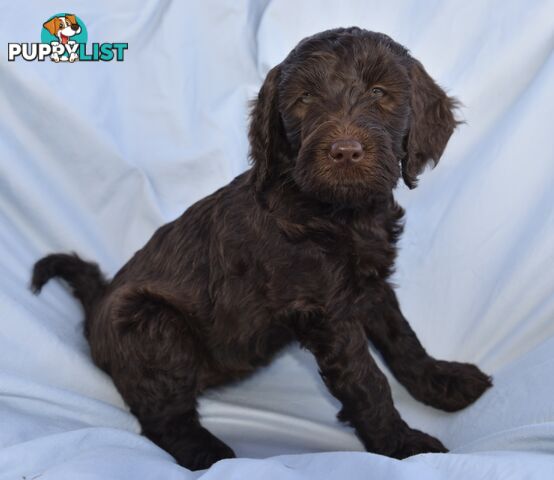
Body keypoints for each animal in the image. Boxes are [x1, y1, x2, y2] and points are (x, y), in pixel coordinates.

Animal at [31, 28, 488, 470]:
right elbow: (367, 380)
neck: (338, 213)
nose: (345, 152)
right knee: (161, 415)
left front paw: (440, 381)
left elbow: (402, 338)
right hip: (154, 324)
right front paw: (404, 445)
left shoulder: (369, 284)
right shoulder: (323, 310)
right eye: (305, 99)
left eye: (379, 92)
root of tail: (98, 306)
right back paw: (207, 453)